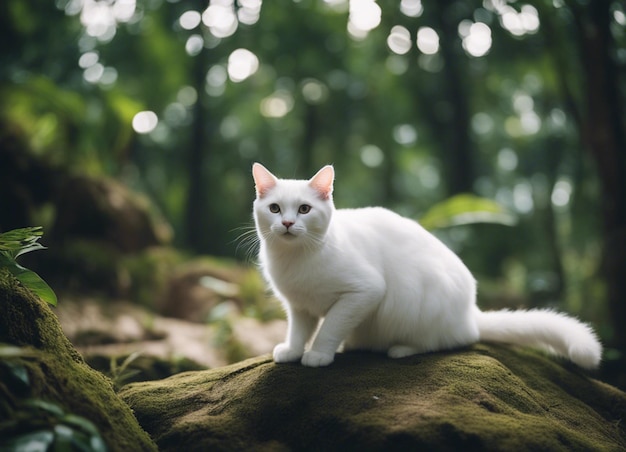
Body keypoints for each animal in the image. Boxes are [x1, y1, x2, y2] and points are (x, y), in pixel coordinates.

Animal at [251, 164, 604, 370]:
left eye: (304, 209)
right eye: (275, 208)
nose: (286, 223)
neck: (294, 260)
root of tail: (470, 312)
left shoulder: (363, 292)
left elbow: (330, 327)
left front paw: (319, 354)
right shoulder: (299, 307)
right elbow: (299, 330)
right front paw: (293, 350)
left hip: (418, 301)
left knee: (452, 340)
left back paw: (402, 349)